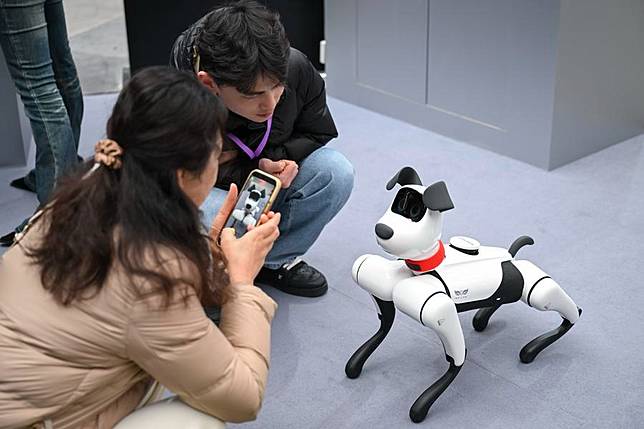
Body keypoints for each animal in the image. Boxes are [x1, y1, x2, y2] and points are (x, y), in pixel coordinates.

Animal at [350, 166, 580, 422]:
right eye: (398, 204)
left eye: (415, 211)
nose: (383, 230)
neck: (423, 267)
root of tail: (510, 257)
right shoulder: (382, 288)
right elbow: (384, 324)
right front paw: (356, 363)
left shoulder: (437, 307)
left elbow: (455, 360)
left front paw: (423, 405)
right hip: (509, 286)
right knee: (502, 299)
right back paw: (483, 318)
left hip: (534, 289)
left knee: (558, 304)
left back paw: (543, 340)